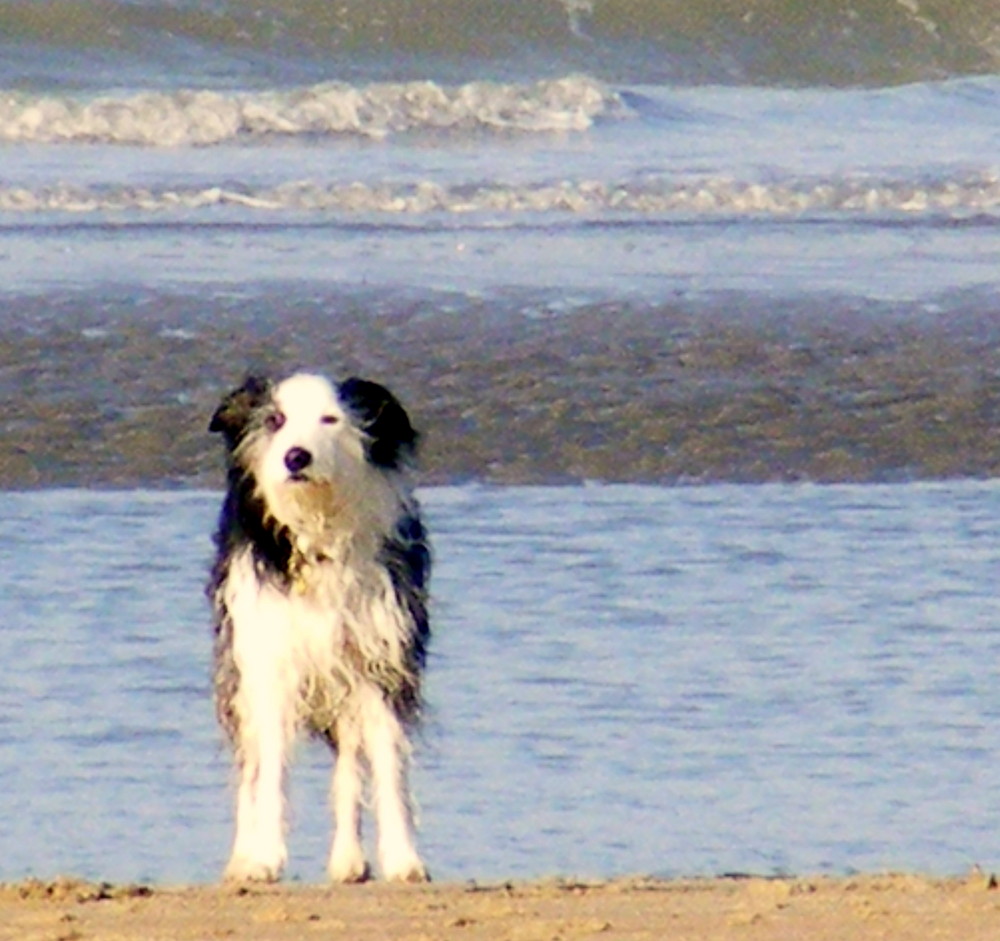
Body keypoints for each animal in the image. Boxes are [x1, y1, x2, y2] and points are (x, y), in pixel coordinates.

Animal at [207, 370, 430, 880]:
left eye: (331, 419)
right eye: (275, 420)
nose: (296, 457)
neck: (319, 529)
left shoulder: (380, 660)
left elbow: (388, 764)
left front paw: (404, 859)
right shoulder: (269, 664)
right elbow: (269, 771)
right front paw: (263, 858)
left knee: (349, 762)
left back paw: (349, 859)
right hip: (238, 672)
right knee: (251, 765)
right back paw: (242, 856)